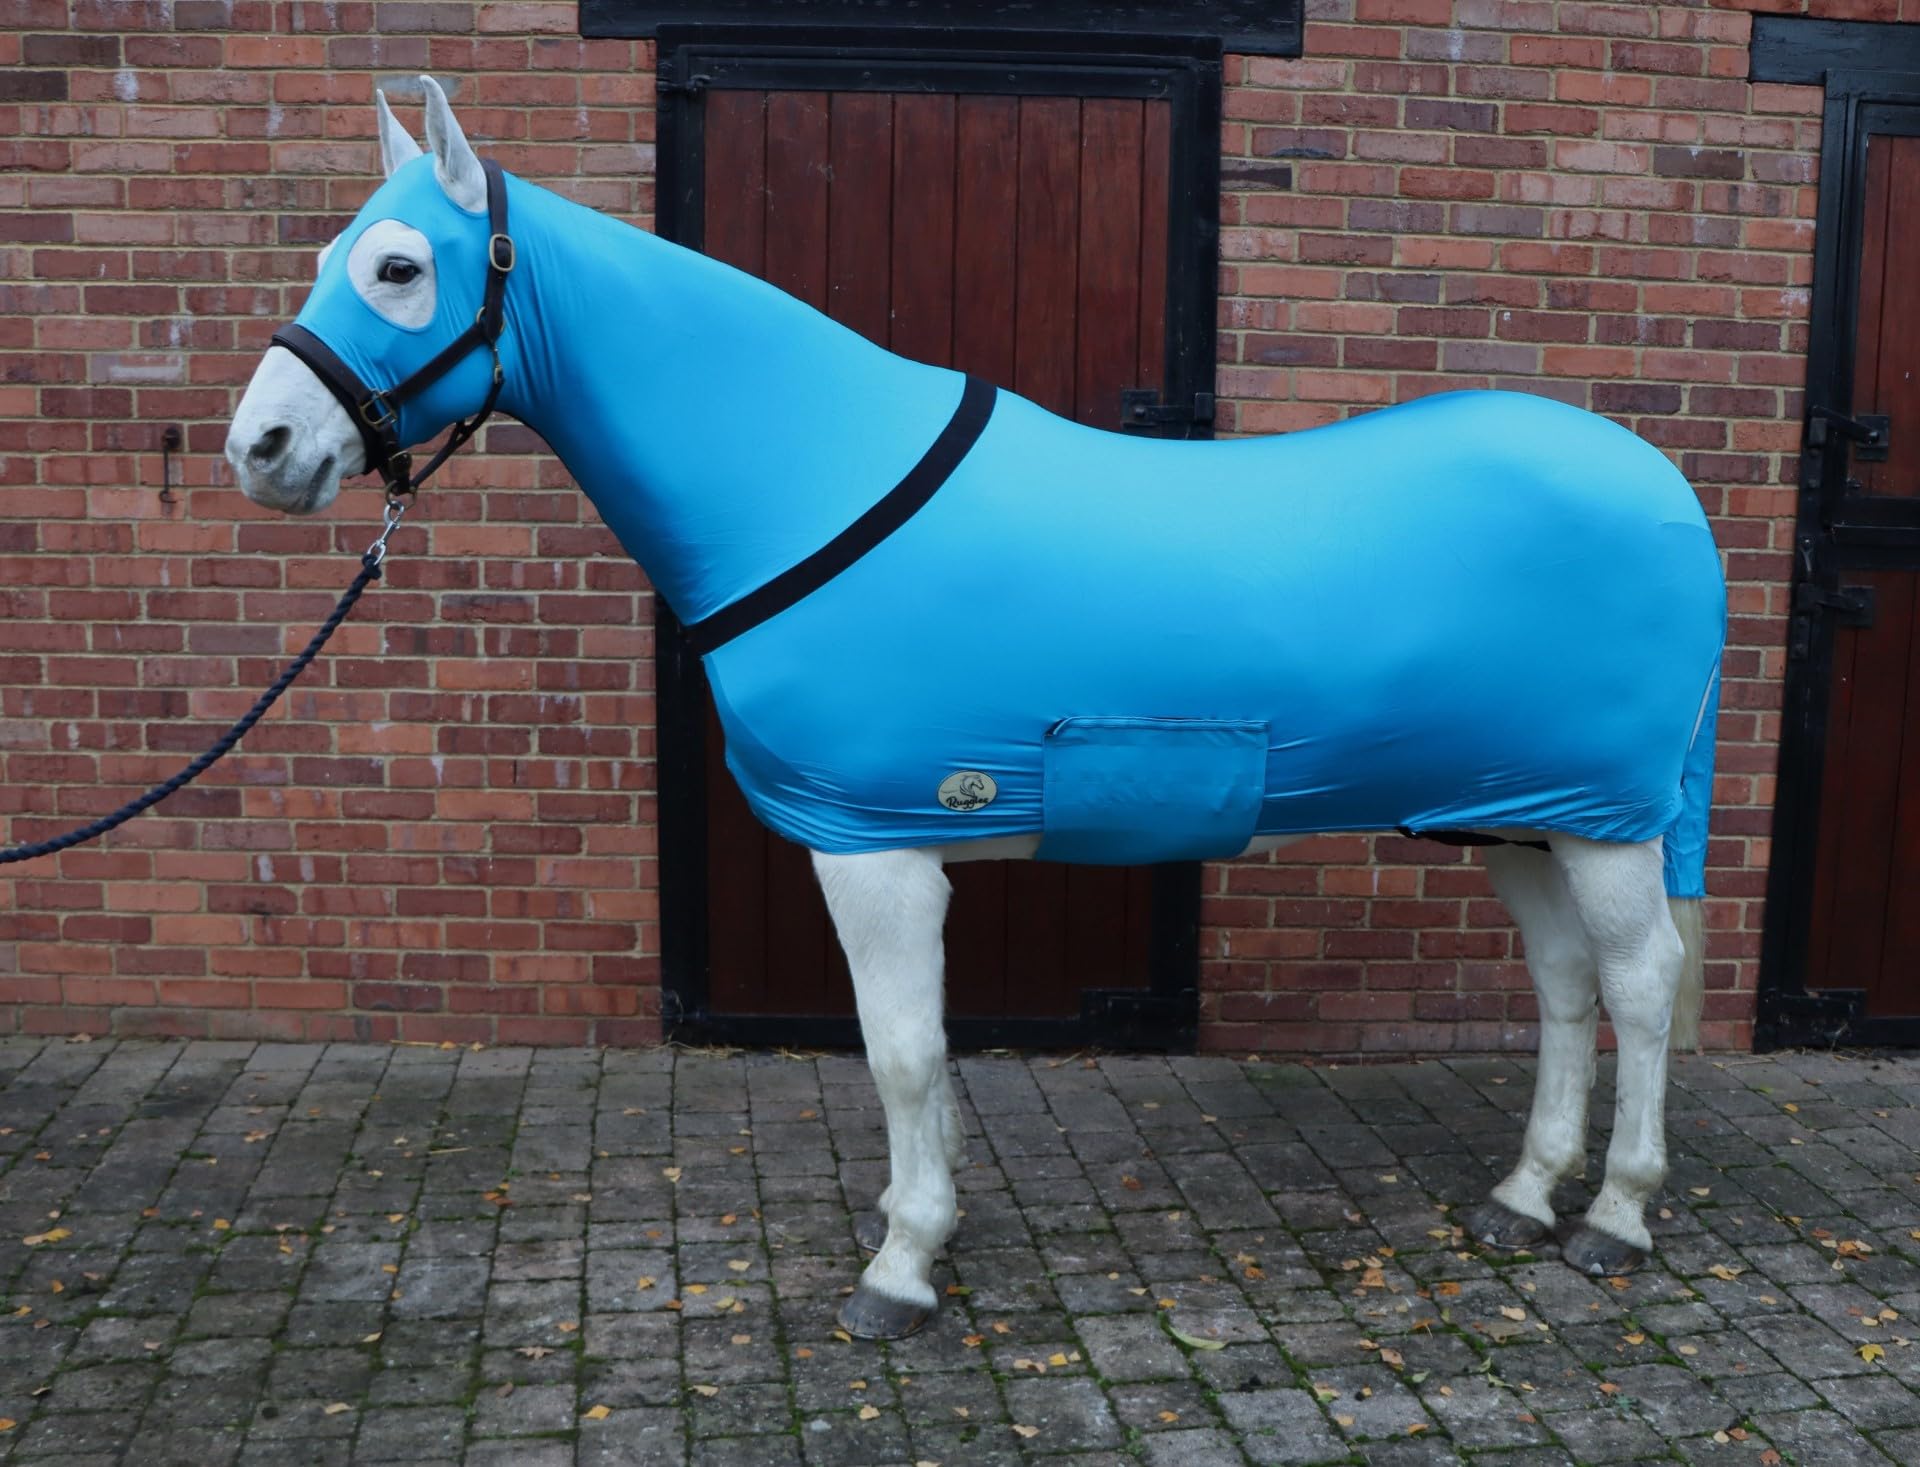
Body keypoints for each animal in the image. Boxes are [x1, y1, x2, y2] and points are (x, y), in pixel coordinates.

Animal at [226, 78, 1726, 1340]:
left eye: (399, 267)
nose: (262, 449)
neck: (812, 478)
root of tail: (1663, 485)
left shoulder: (878, 846)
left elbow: (900, 1053)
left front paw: (899, 1271)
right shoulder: (894, 844)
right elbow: (926, 1055)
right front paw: (925, 1224)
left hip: (1601, 819)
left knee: (1642, 980)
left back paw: (1617, 1216)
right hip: (1515, 813)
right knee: (1565, 983)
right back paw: (1525, 1195)